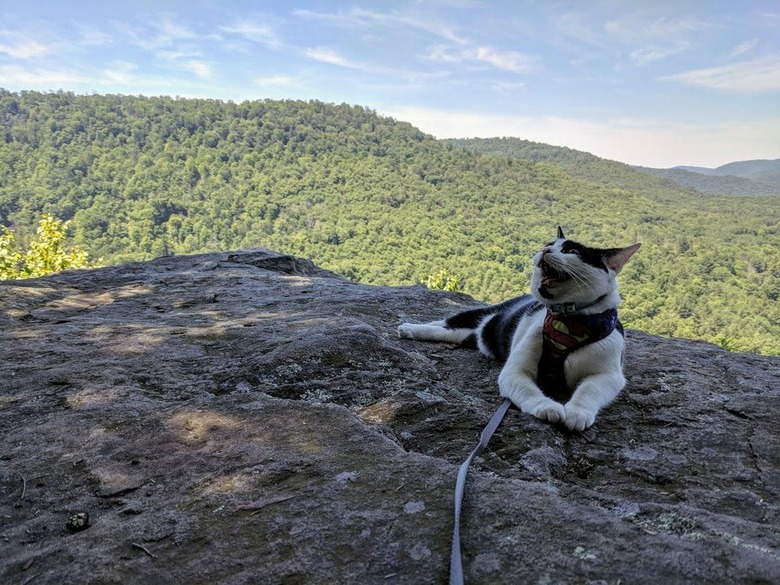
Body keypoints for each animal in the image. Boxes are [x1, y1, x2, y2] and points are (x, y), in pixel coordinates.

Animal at [396, 226, 640, 432]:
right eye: (549, 243)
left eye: (571, 251)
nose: (545, 249)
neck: (569, 321)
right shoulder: (515, 371)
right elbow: (528, 390)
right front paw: (547, 407)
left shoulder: (609, 374)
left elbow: (589, 389)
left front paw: (577, 413)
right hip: (481, 314)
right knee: (447, 322)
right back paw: (409, 328)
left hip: (469, 334)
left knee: (449, 331)